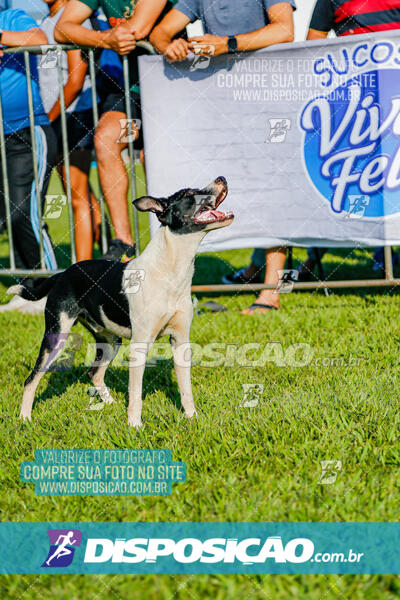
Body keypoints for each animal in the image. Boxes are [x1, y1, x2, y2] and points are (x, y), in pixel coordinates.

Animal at [9, 176, 233, 428]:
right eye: (188, 194)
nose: (222, 178)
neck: (170, 271)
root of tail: (63, 273)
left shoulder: (180, 340)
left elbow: (186, 389)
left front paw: (192, 417)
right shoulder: (140, 344)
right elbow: (135, 393)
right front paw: (135, 426)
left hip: (110, 341)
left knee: (94, 373)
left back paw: (109, 403)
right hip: (56, 337)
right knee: (32, 378)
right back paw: (25, 418)